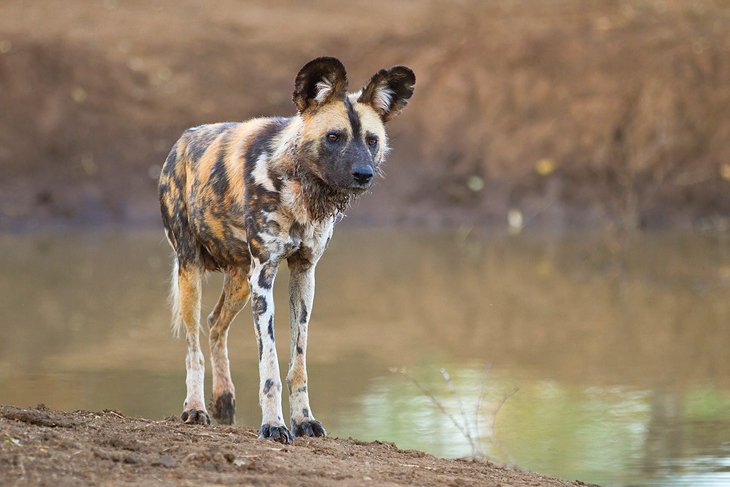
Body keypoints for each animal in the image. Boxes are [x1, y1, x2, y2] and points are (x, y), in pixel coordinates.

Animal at [158, 56, 416, 442]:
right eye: (334, 137)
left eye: (372, 140)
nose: (364, 173)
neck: (299, 187)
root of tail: (183, 139)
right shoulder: (264, 278)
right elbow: (269, 366)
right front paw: (274, 425)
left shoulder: (303, 274)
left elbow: (298, 363)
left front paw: (304, 420)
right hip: (192, 272)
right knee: (193, 347)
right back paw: (195, 408)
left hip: (240, 282)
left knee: (215, 324)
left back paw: (223, 401)